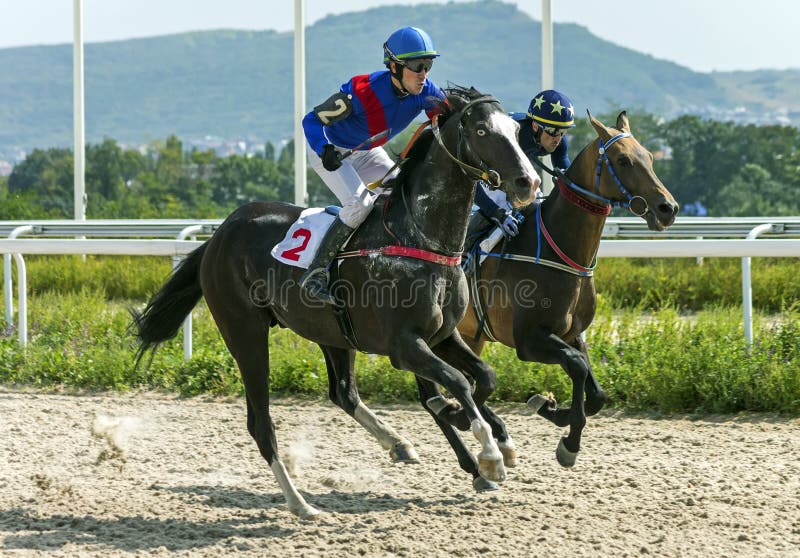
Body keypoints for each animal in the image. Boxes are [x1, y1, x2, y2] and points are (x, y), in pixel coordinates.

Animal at [133, 87, 536, 520]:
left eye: (516, 130)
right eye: (481, 130)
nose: (527, 182)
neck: (421, 237)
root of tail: (219, 235)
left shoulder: (442, 336)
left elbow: (484, 378)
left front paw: (477, 429)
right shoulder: (404, 346)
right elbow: (458, 382)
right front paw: (489, 453)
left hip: (332, 333)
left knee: (343, 392)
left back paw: (397, 443)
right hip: (244, 332)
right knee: (261, 423)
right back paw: (300, 503)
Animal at [454, 110, 680, 468]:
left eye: (649, 156)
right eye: (623, 160)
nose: (667, 209)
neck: (559, 247)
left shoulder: (572, 333)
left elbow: (595, 389)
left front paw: (551, 409)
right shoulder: (528, 340)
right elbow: (576, 365)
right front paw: (568, 439)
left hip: (470, 336)